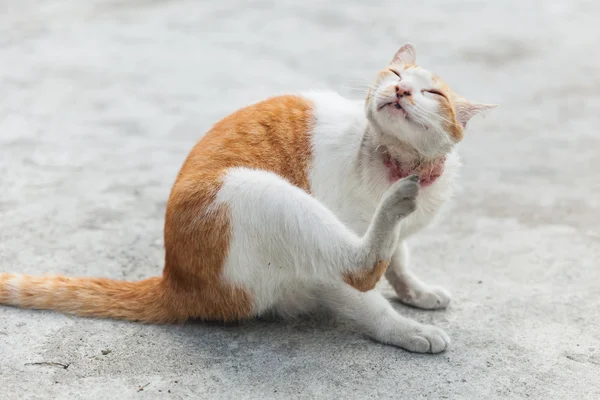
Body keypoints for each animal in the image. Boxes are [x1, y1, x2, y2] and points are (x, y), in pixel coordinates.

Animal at [1, 43, 496, 354]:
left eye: (431, 92)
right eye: (394, 74)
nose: (400, 89)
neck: (403, 163)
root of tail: (174, 279)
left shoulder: (407, 236)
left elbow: (401, 259)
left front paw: (417, 291)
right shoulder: (328, 270)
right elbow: (369, 297)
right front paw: (404, 328)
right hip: (260, 191)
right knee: (361, 264)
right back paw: (395, 205)